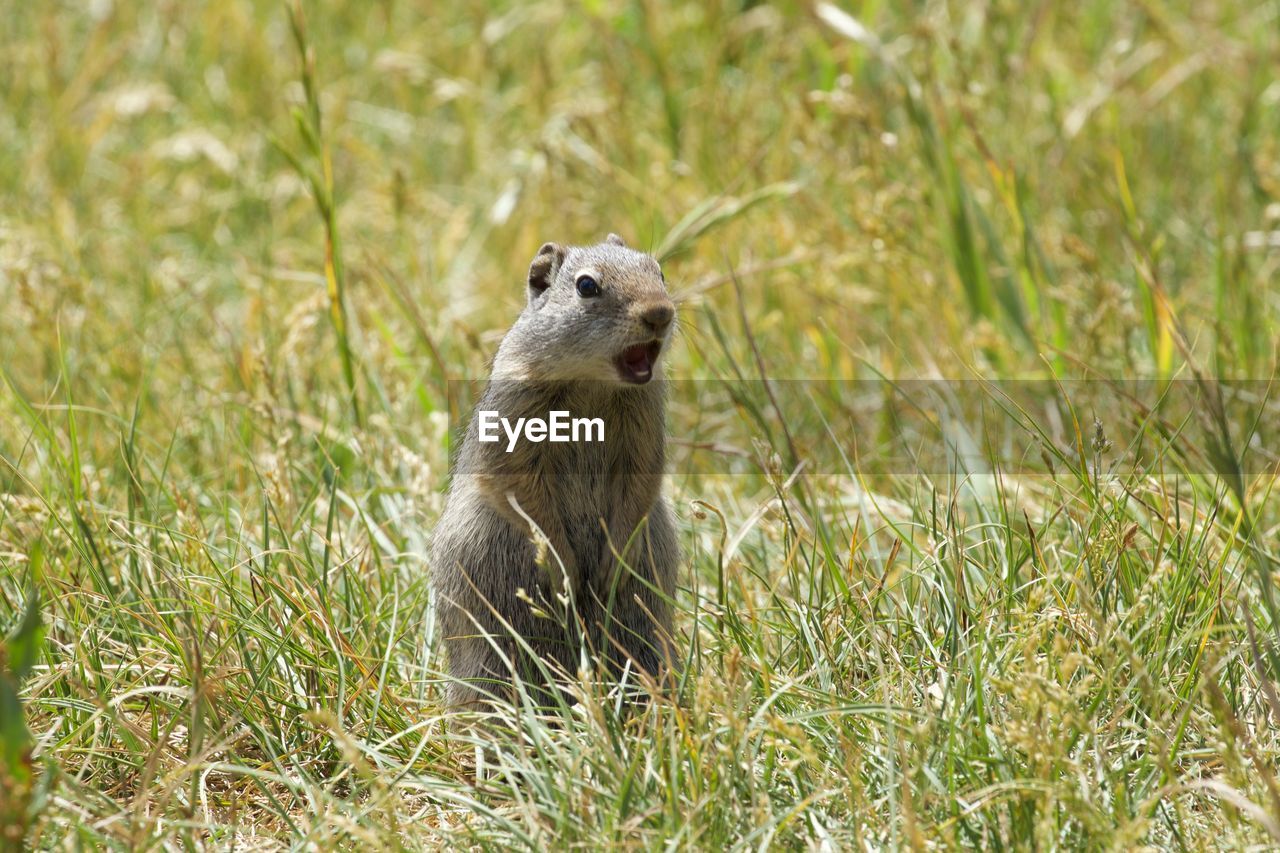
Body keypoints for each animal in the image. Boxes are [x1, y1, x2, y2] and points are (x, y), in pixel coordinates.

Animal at [432, 234, 680, 712]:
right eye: (586, 286)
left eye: (659, 272)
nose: (661, 313)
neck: (592, 381)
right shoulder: (516, 415)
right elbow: (520, 489)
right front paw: (563, 569)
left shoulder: (644, 420)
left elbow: (642, 479)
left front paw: (614, 564)